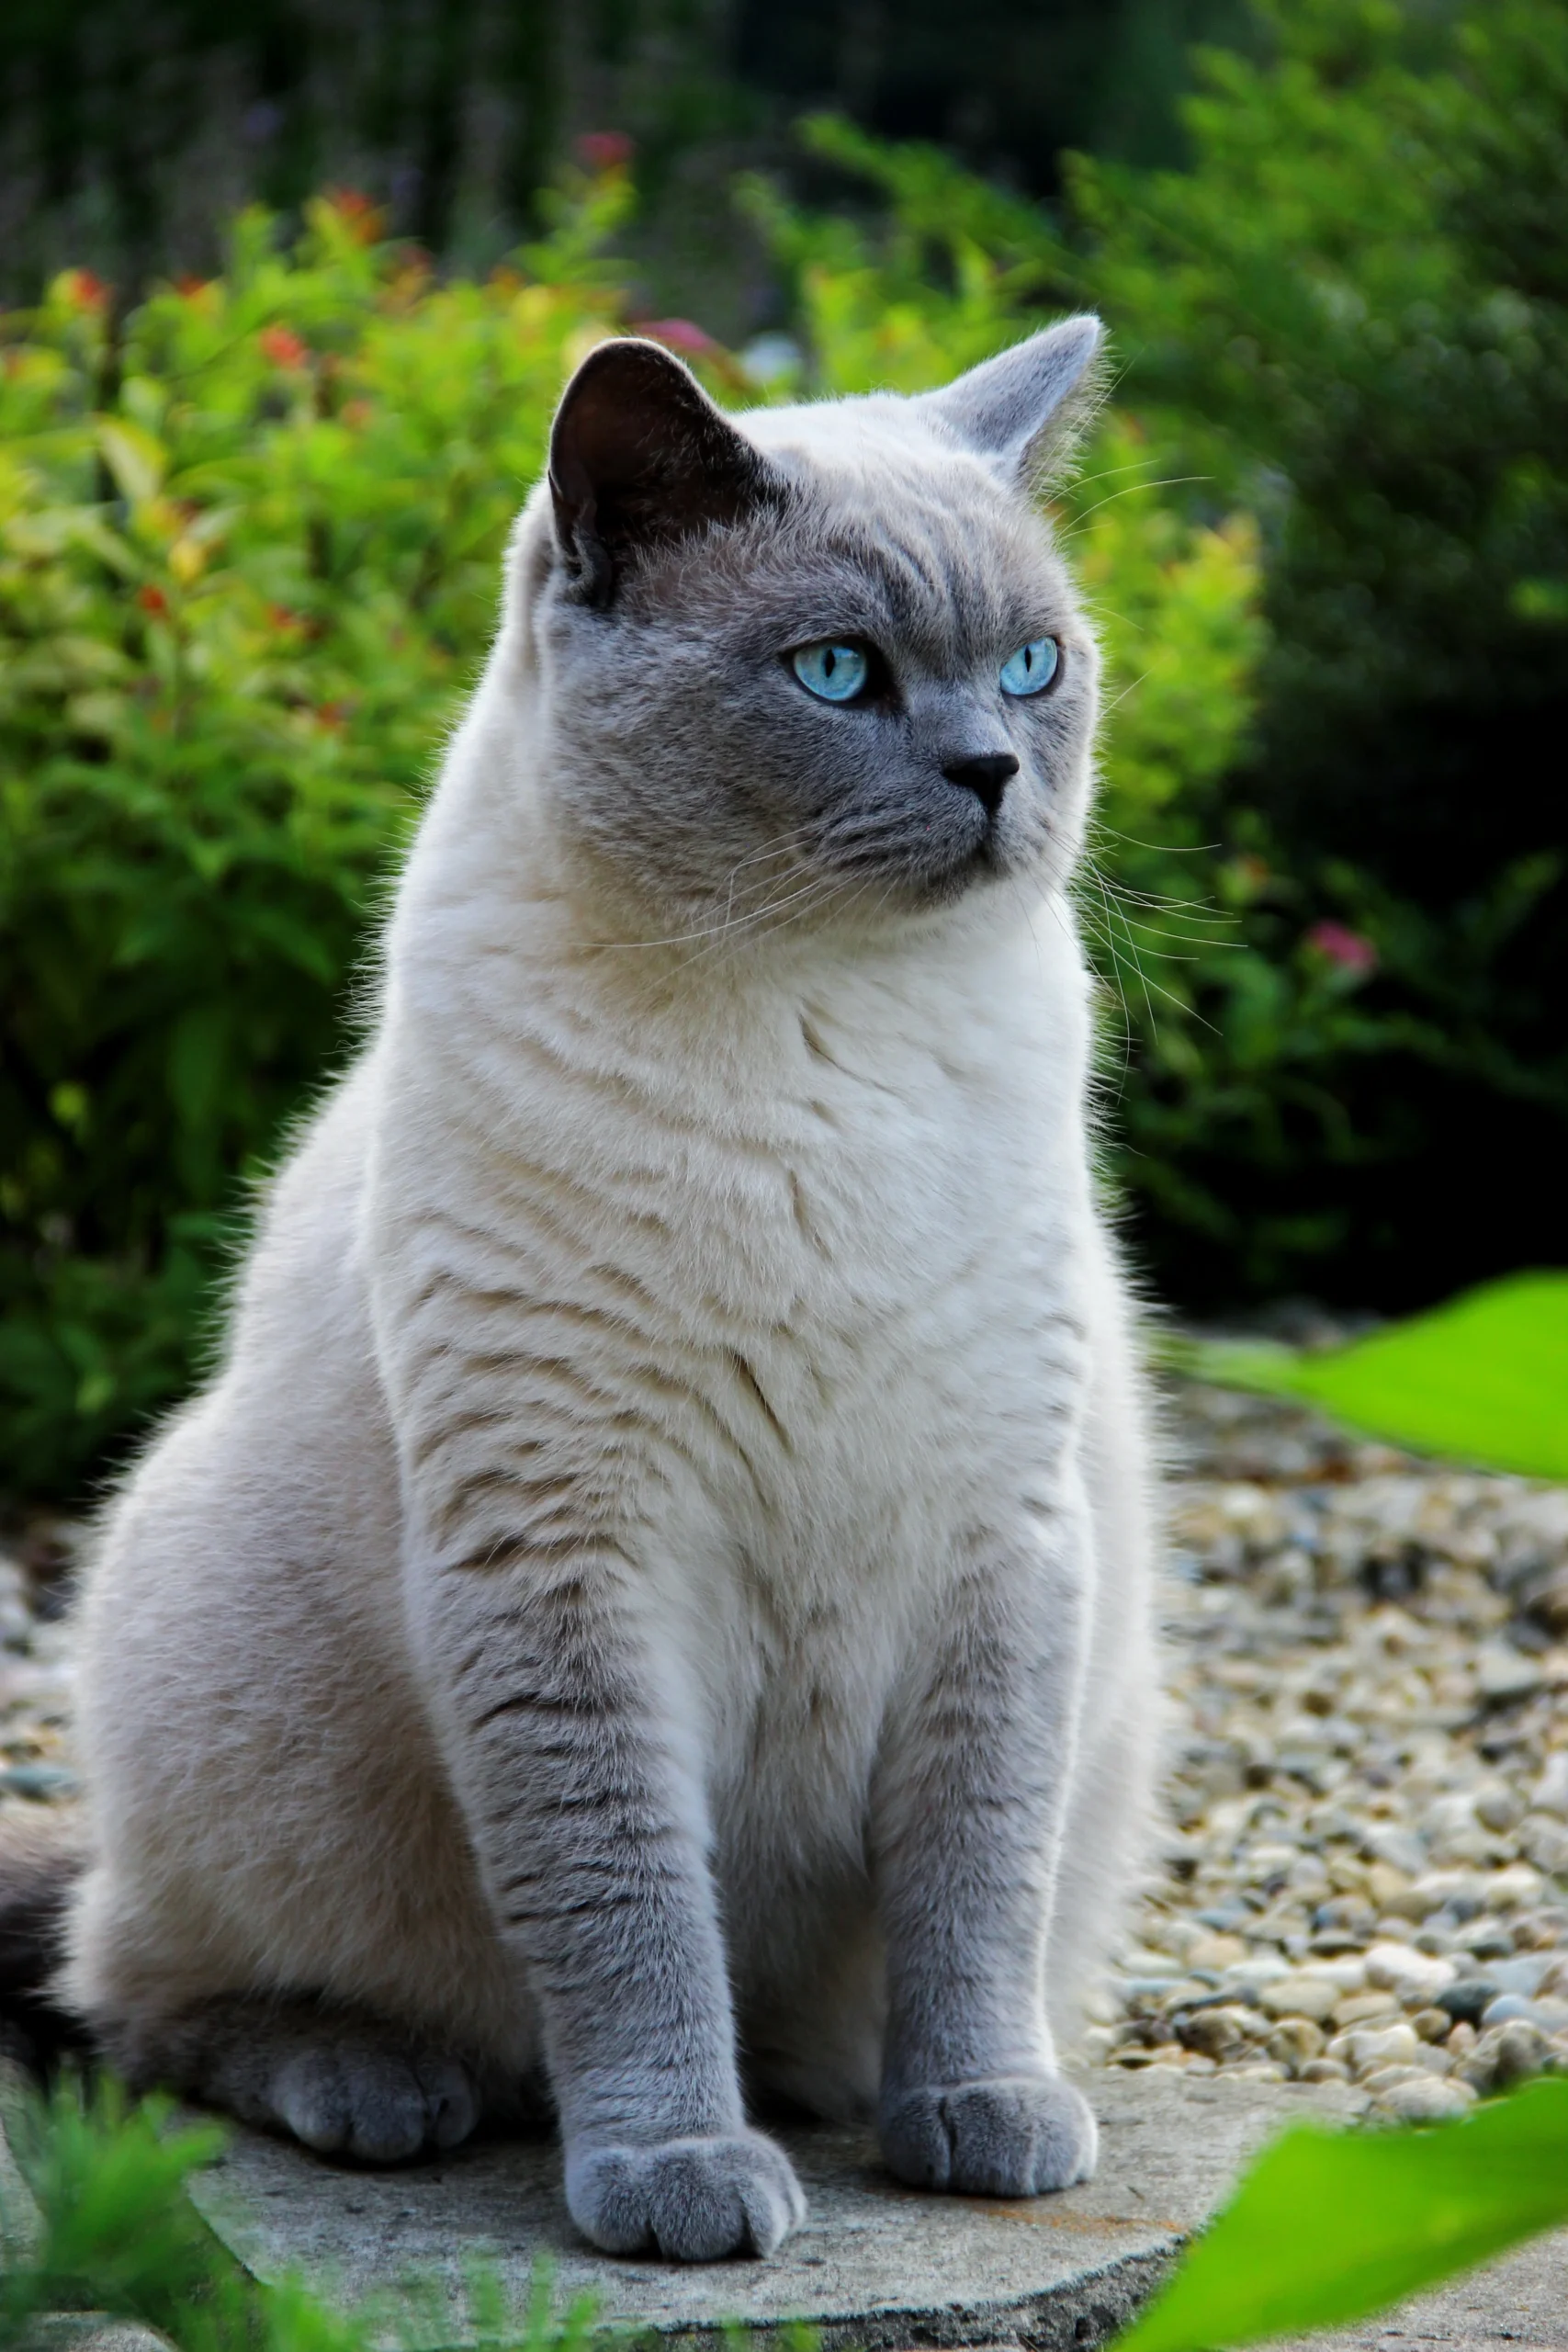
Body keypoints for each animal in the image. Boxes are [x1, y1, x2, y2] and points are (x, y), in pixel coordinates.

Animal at [8, 322, 1166, 2267]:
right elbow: (627, 1915)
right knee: (138, 1996)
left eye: (1032, 666)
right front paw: (678, 2178)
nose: (993, 771)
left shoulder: (1002, 1541)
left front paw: (981, 2119)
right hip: (214, 1680)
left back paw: (825, 2096)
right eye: (837, 673)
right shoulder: (564, 1549)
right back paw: (380, 2090)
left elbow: (973, 1886)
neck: (824, 1033)